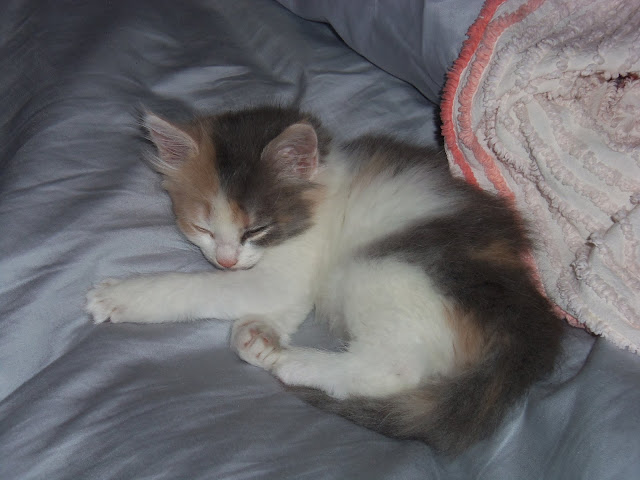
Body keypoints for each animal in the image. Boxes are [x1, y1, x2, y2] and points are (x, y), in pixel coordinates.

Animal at [85, 105, 560, 454]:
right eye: (201, 227)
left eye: (255, 229)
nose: (225, 260)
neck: (320, 195)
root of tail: (524, 327)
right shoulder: (287, 283)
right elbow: (279, 304)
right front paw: (258, 334)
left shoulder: (284, 267)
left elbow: (200, 288)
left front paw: (121, 296)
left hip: (382, 268)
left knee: (394, 369)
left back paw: (293, 362)